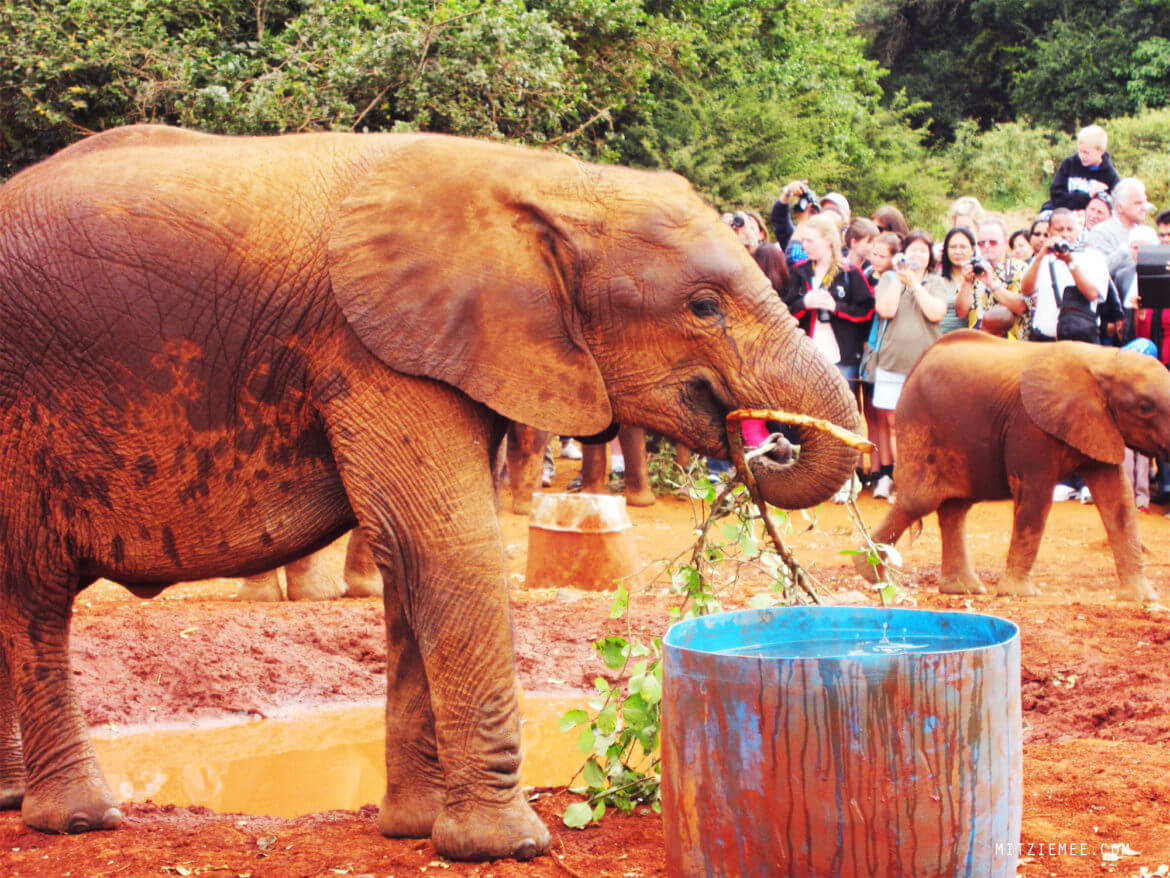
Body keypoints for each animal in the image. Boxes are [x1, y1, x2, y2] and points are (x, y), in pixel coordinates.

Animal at [0, 124, 861, 861]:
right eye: (703, 307)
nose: (765, 441)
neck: (542, 178)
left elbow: (409, 559)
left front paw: (415, 831)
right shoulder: (370, 348)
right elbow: (447, 543)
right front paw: (505, 847)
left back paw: (14, 803)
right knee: (32, 597)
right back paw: (79, 818)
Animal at [855, 330, 1167, 603]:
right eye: (1145, 407)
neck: (1104, 359)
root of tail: (917, 363)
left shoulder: (1100, 427)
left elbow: (1118, 499)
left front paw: (1143, 598)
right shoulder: (1029, 426)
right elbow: (1036, 497)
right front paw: (1020, 594)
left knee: (955, 508)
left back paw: (963, 589)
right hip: (919, 424)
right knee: (919, 501)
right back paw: (872, 573)